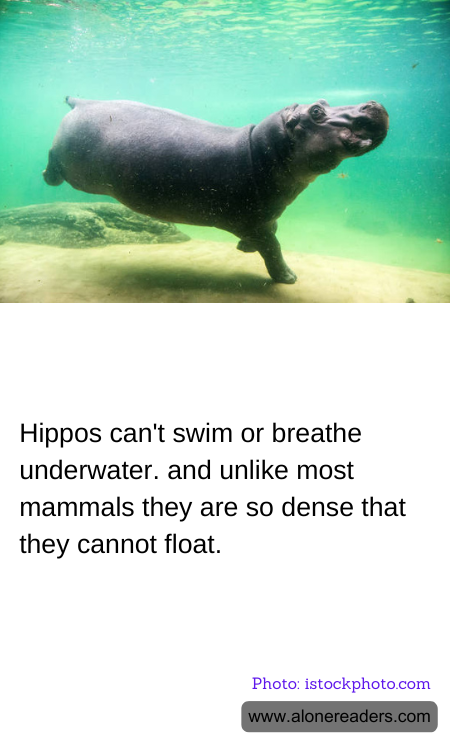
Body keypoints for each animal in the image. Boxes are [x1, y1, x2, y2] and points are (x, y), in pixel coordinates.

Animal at [43, 97, 389, 283]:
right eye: (316, 111)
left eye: (325, 103)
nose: (372, 104)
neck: (262, 150)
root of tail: (83, 101)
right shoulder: (254, 222)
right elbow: (273, 248)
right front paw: (289, 278)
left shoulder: (266, 218)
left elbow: (273, 233)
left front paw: (244, 249)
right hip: (77, 171)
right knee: (53, 161)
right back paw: (48, 178)